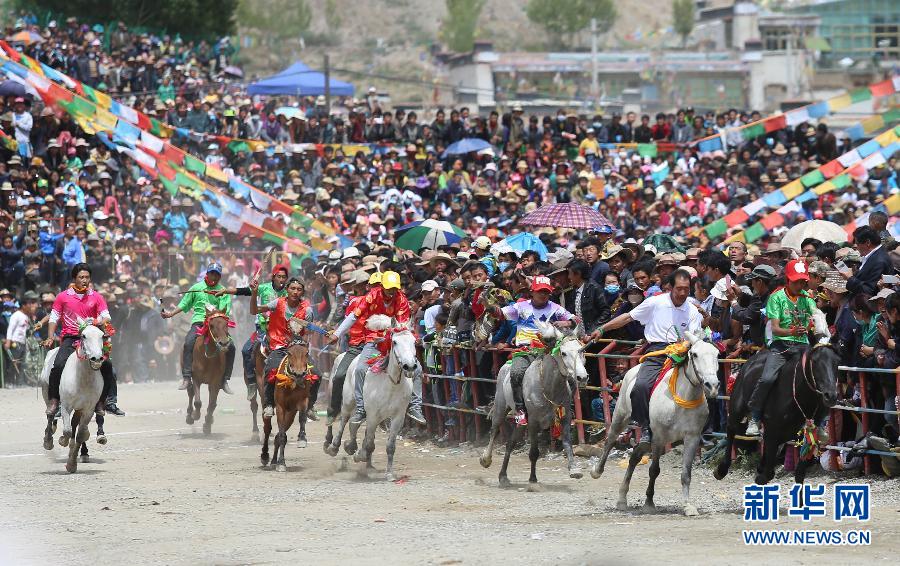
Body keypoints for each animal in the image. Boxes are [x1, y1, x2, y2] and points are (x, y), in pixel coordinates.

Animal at [39, 324, 107, 474]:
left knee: (75, 426)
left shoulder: (88, 409)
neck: (82, 379)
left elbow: (80, 434)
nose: (96, 359)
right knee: (50, 415)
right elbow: (67, 430)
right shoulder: (66, 406)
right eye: (84, 336)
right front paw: (62, 440)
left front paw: (71, 464)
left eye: (102, 336)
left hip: (79, 409)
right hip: (46, 393)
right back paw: (48, 440)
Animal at [184, 308, 229, 438]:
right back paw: (189, 416)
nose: (224, 343)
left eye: (226, 324)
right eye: (212, 325)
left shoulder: (215, 381)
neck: (207, 358)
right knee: (190, 392)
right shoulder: (196, 378)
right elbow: (197, 401)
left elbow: (212, 404)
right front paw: (195, 415)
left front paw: (207, 424)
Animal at [262, 330, 312, 472]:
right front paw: (281, 463)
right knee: (268, 429)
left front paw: (302, 439)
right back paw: (265, 456)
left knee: (278, 435)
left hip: (290, 414)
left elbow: (302, 418)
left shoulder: (302, 401)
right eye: (289, 353)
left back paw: (274, 460)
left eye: (306, 352)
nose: (299, 374)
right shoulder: (280, 407)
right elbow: (282, 436)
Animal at [478, 324, 592, 488]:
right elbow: (533, 453)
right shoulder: (533, 422)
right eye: (563, 353)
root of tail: (505, 367)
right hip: (501, 406)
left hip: (522, 422)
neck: (547, 386)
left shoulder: (564, 418)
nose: (582, 377)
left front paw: (574, 469)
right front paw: (532, 480)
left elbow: (567, 443)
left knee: (510, 444)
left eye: (581, 350)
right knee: (494, 430)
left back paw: (503, 476)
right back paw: (486, 459)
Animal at [588, 330, 720, 516]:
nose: (712, 386)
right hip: (621, 416)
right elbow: (654, 470)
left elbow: (686, 474)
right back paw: (597, 471)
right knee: (610, 441)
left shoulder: (692, 437)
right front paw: (649, 503)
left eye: (717, 355)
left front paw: (688, 506)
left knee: (635, 456)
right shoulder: (658, 437)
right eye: (694, 354)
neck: (680, 399)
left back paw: (622, 499)